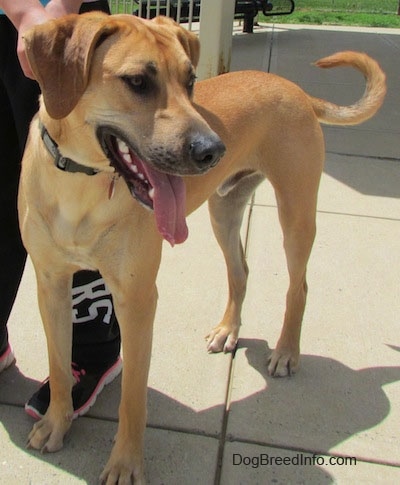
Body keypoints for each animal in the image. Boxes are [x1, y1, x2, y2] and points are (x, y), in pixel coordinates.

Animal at [18, 13, 384, 482]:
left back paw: (286, 351)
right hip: (224, 212)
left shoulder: (137, 298)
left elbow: (133, 397)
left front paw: (125, 463)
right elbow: (59, 365)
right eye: (137, 81)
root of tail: (295, 89)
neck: (80, 184)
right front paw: (57, 423)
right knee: (240, 271)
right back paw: (229, 329)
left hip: (296, 212)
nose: (213, 150)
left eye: (191, 80)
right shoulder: (50, 284)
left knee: (298, 286)